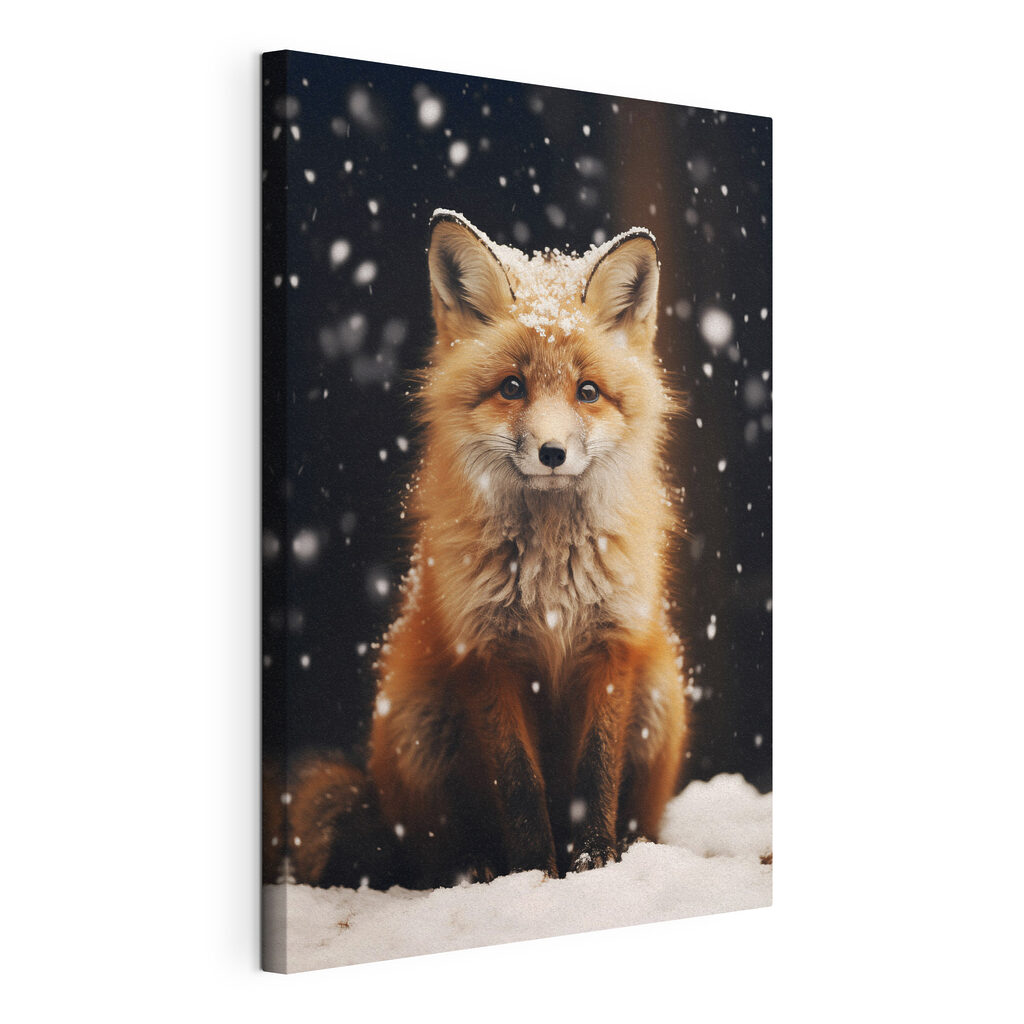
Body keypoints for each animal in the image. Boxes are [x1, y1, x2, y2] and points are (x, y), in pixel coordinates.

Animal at [275, 210, 688, 890]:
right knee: (427, 855)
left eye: (588, 392)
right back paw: (475, 869)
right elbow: (518, 786)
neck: (551, 578)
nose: (552, 452)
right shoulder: (486, 651)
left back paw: (631, 848)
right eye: (511, 387)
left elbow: (594, 775)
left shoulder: (612, 645)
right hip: (420, 723)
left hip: (660, 696)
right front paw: (535, 876)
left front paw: (593, 866)